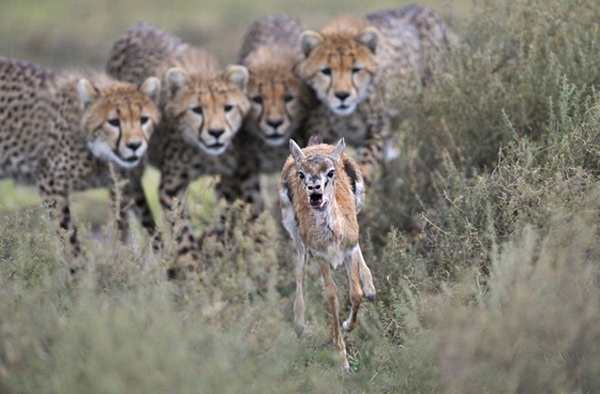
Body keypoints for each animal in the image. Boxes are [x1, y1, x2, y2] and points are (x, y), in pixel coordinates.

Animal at [0, 56, 161, 264]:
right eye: (114, 122)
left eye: (143, 119)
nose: (135, 145)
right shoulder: (50, 183)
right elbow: (68, 235)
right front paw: (80, 270)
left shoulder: (126, 184)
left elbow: (142, 224)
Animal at [106, 22, 250, 274]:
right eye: (197, 109)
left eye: (228, 107)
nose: (216, 133)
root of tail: (138, 26)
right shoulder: (171, 187)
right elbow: (181, 230)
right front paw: (193, 270)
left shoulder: (230, 178)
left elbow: (226, 217)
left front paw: (219, 248)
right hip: (126, 166)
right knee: (129, 209)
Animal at [296, 5, 450, 183]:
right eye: (326, 71)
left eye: (356, 69)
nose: (342, 95)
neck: (344, 116)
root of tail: (420, 6)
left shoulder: (377, 129)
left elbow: (365, 163)